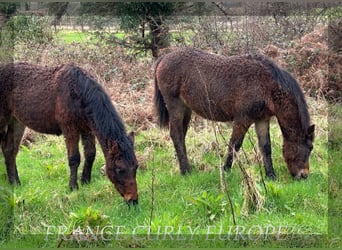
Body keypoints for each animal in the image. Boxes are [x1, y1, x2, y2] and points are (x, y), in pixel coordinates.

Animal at [0, 62, 139, 205]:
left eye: (136, 167)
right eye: (119, 169)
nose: (133, 200)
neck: (79, 92)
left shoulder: (87, 129)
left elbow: (90, 154)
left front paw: (85, 181)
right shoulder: (70, 129)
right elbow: (74, 158)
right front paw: (73, 187)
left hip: (16, 121)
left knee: (10, 150)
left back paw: (15, 183)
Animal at [155, 47, 316, 180]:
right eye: (309, 148)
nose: (304, 175)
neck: (266, 85)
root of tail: (163, 58)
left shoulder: (262, 119)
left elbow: (266, 147)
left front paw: (271, 175)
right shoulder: (242, 119)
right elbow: (234, 145)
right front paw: (226, 170)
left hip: (186, 109)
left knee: (181, 135)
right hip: (175, 106)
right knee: (176, 134)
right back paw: (185, 170)